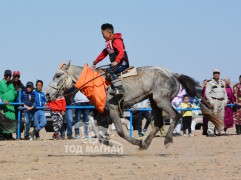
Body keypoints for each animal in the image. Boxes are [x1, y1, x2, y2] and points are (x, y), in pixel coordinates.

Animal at [46, 60, 221, 149]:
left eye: (58, 75)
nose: (47, 94)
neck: (97, 83)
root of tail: (173, 75)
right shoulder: (103, 111)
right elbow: (95, 128)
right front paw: (108, 142)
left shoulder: (113, 109)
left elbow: (120, 131)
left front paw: (134, 141)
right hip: (154, 102)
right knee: (158, 122)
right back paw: (145, 144)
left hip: (161, 100)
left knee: (175, 115)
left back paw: (166, 140)